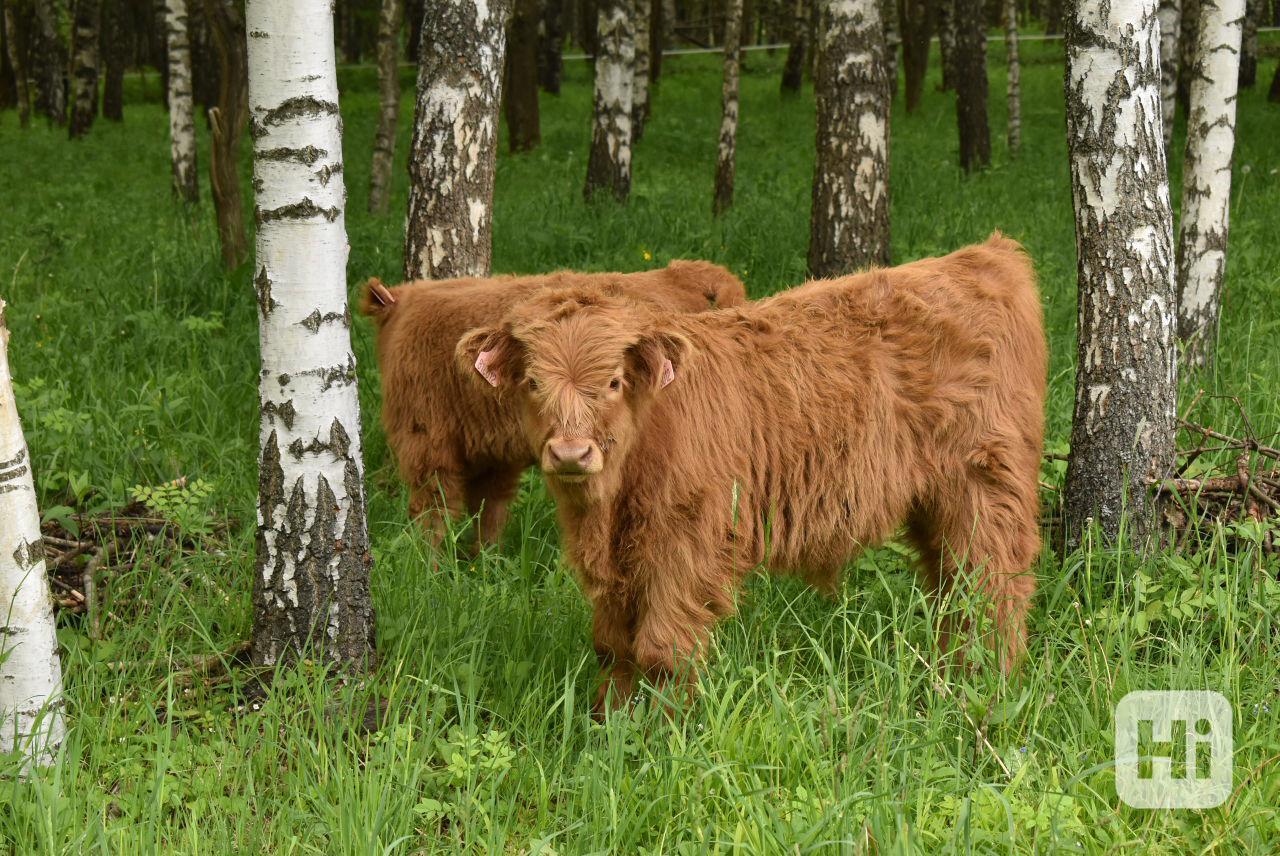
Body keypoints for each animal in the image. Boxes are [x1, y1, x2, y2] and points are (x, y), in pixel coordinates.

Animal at [460, 234, 1049, 706]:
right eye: (532, 382)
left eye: (612, 382)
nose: (570, 453)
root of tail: (986, 256)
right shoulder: (617, 558)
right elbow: (613, 646)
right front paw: (610, 722)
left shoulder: (688, 543)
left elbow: (662, 650)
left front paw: (662, 734)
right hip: (937, 501)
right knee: (953, 586)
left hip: (986, 484)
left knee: (994, 586)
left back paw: (987, 684)